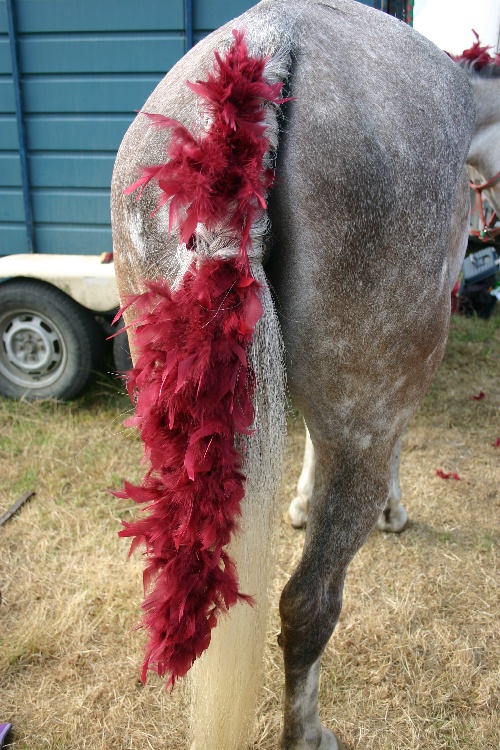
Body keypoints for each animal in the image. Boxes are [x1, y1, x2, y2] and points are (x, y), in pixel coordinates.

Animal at [111, 1, 474, 750]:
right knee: (310, 603)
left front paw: (300, 502)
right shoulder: (382, 407)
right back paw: (306, 733)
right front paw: (392, 511)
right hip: (366, 417)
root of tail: (273, 36)